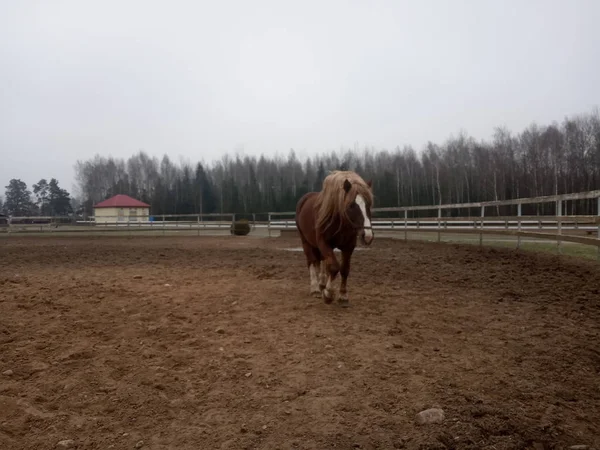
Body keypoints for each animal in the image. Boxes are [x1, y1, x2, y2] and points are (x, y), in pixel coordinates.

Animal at [294, 171, 372, 308]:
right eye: (351, 205)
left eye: (368, 204)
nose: (367, 235)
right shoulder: (324, 243)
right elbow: (335, 267)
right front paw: (328, 294)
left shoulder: (348, 246)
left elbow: (344, 269)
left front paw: (343, 296)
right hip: (306, 241)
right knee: (311, 261)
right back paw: (315, 288)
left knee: (320, 261)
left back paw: (321, 284)